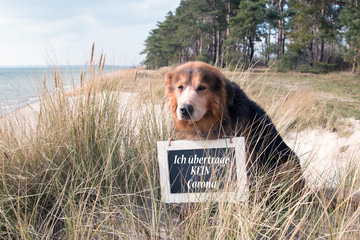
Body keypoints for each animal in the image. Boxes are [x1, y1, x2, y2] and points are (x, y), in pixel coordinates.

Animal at [165, 61, 360, 204]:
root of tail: (307, 190)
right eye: (180, 87)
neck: (212, 120)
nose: (185, 109)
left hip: (287, 163)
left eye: (202, 87)